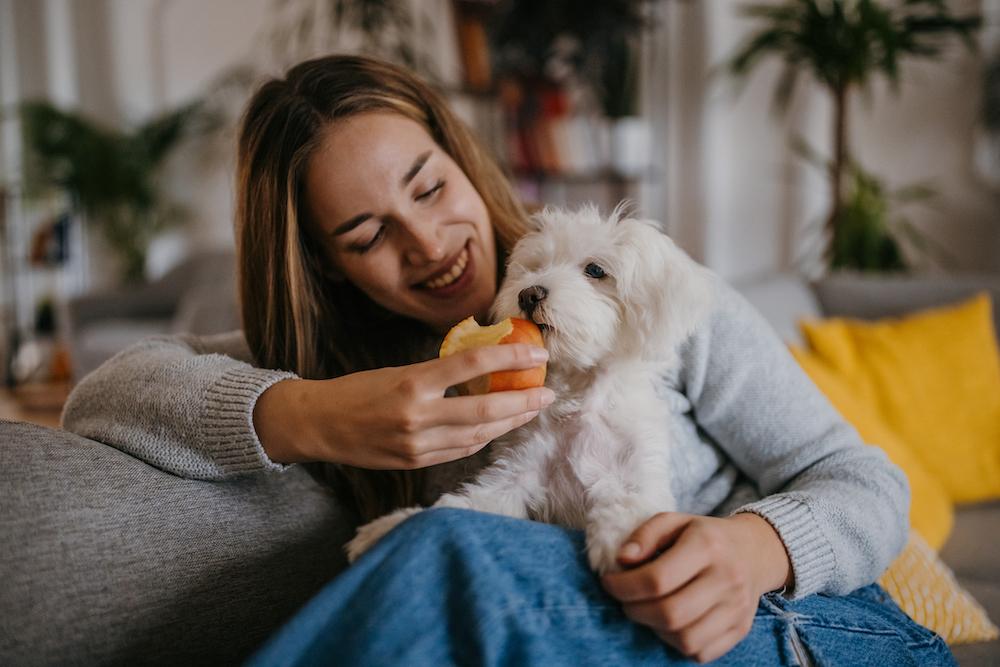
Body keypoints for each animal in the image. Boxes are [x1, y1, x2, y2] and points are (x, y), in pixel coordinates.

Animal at [348, 204, 716, 576]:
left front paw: (625, 543)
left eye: (596, 270)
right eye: (535, 267)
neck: (579, 397)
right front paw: (389, 526)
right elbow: (458, 505)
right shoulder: (516, 475)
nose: (529, 293)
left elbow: (632, 504)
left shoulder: (637, 469)